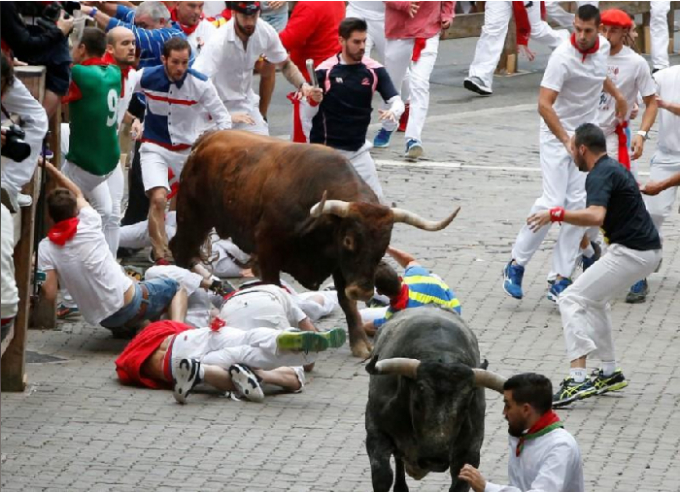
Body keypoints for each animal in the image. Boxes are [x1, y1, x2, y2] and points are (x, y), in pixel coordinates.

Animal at [170, 130, 460, 358]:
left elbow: (346, 302)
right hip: (192, 217)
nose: (363, 291)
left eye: (383, 246)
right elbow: (278, 291)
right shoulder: (268, 254)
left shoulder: (341, 266)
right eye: (349, 239)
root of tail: (207, 138)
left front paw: (360, 344)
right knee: (181, 251)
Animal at [366, 306, 504, 490]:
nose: (434, 459)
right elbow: (383, 476)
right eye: (417, 403)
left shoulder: (470, 451)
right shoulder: (376, 432)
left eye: (465, 408)